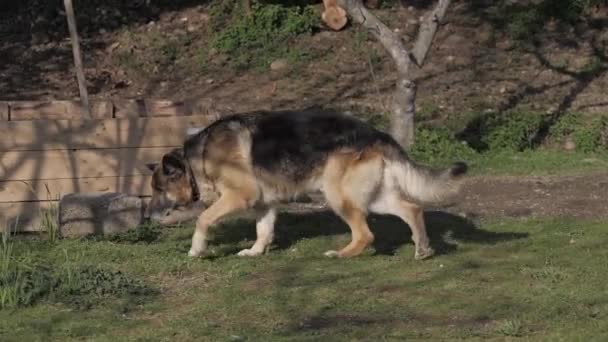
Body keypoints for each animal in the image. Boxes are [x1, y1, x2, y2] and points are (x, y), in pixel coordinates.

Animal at [145, 109, 468, 260]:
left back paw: (342, 254)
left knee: (366, 234)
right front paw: (255, 252)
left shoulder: (242, 196)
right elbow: (263, 230)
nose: (146, 216)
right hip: (373, 197)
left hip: (338, 195)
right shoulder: (264, 204)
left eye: (159, 190)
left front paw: (197, 249)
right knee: (412, 209)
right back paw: (422, 248)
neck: (195, 158)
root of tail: (377, 134)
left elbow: (203, 218)